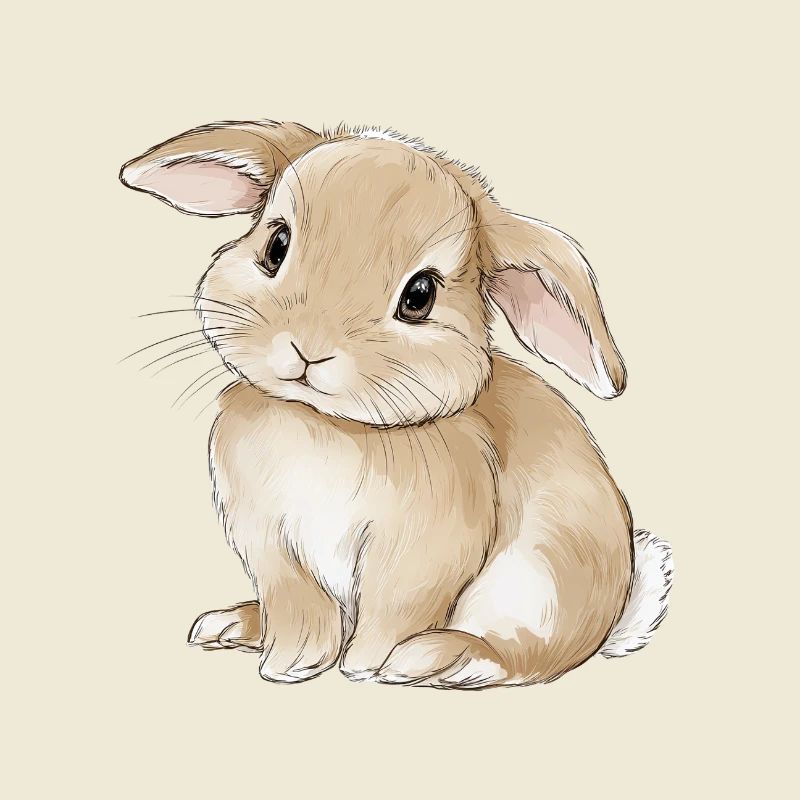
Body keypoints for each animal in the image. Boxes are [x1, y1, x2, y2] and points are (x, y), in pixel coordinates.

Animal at [119, 119, 672, 688]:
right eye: (276, 244)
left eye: (420, 296)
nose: (308, 348)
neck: (327, 424)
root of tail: (612, 615)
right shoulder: (272, 546)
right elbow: (299, 605)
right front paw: (290, 664)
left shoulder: (423, 552)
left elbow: (394, 609)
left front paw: (364, 667)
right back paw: (232, 624)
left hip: (536, 585)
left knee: (519, 659)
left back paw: (430, 657)